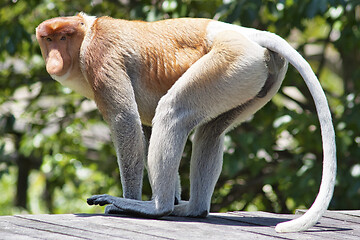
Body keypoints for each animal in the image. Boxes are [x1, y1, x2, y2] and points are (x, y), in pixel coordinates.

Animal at [35, 12, 336, 232]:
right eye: (48, 39)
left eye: (63, 37)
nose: (54, 60)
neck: (87, 33)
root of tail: (245, 33)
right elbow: (145, 127)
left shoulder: (101, 55)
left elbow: (126, 121)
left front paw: (127, 202)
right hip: (255, 78)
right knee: (211, 132)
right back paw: (192, 208)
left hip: (231, 61)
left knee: (173, 112)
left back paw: (158, 207)